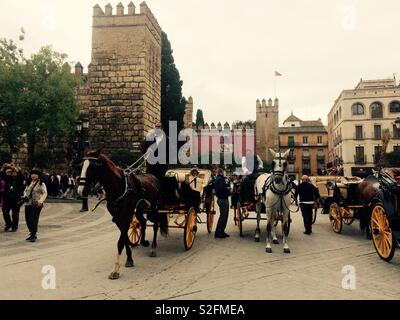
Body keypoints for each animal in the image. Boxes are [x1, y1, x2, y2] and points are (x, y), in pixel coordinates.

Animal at [77, 150, 168, 280]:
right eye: (81, 166)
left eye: (92, 166)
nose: (81, 191)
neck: (119, 187)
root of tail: (153, 177)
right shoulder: (117, 218)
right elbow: (124, 238)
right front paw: (129, 258)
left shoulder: (127, 215)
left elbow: (120, 242)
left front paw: (116, 269)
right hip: (139, 209)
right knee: (143, 222)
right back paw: (144, 241)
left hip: (154, 208)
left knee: (155, 226)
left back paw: (153, 248)